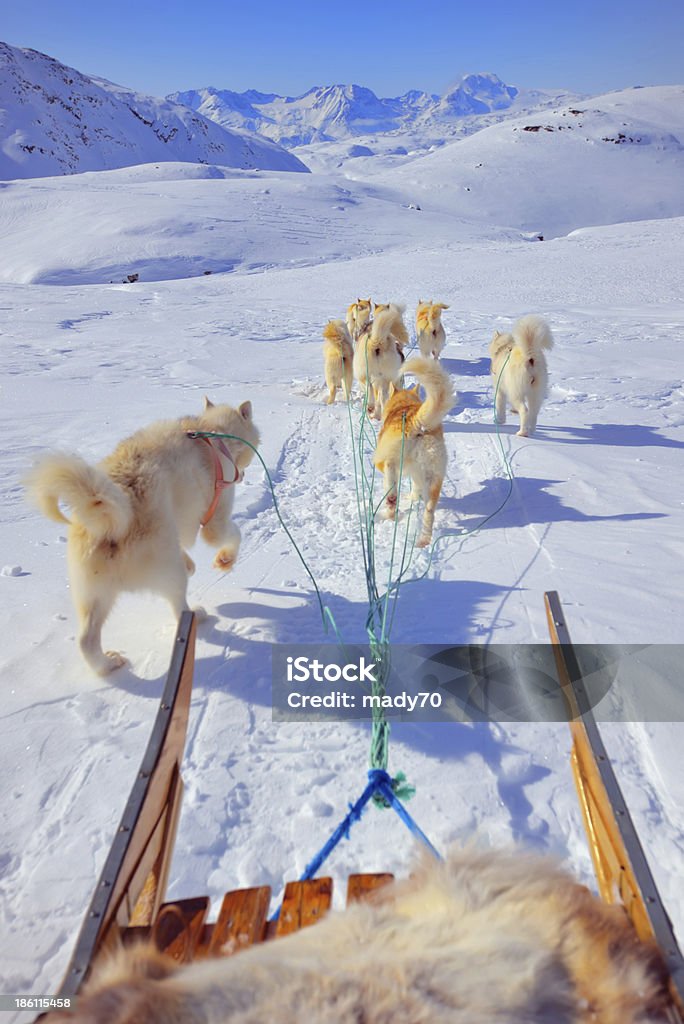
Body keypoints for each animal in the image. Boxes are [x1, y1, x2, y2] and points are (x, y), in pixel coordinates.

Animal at [24, 395, 259, 675]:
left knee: (85, 640)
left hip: (94, 592)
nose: (242, 474)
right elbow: (233, 535)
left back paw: (107, 664)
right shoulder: (216, 520)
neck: (210, 430)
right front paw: (225, 560)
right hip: (166, 569)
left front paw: (193, 563)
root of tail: (114, 518)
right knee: (178, 607)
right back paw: (197, 615)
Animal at [374, 354, 454, 544]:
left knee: (391, 488)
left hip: (389, 462)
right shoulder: (417, 473)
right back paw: (424, 540)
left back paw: (391, 509)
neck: (402, 405)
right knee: (429, 511)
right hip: (433, 477)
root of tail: (416, 422)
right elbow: (416, 489)